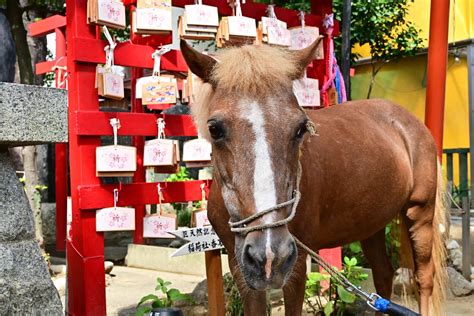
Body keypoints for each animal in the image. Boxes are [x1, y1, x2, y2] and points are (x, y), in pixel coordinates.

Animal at [180, 38, 446, 314]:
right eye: (214, 129)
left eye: (300, 128)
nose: (270, 255)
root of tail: (409, 122)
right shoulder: (241, 267)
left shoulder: (295, 268)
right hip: (371, 224)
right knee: (384, 274)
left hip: (420, 213)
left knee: (424, 278)